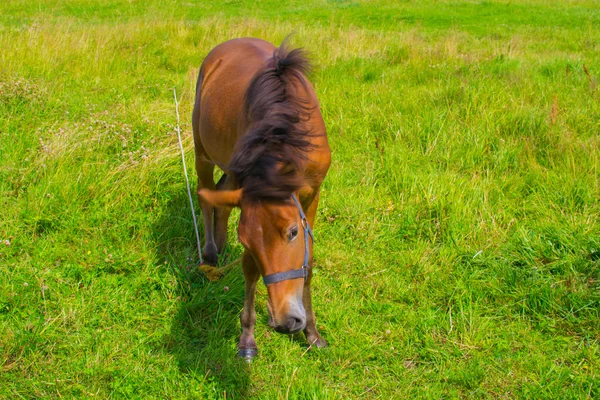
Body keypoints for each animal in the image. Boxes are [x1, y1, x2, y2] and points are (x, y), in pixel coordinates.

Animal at [192, 37, 330, 360]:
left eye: (292, 233)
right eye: (246, 240)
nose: (285, 322)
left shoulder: (312, 195)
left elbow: (308, 263)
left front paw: (312, 333)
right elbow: (250, 269)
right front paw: (247, 338)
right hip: (202, 153)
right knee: (206, 197)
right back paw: (211, 253)